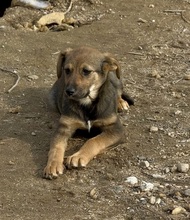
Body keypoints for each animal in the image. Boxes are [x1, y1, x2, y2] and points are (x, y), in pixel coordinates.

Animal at [44, 46, 134, 179]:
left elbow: (94, 141)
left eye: (86, 71)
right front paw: (53, 165)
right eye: (67, 70)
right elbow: (56, 146)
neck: (87, 102)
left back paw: (120, 103)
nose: (69, 91)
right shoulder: (64, 127)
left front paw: (78, 156)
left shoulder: (116, 129)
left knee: (118, 92)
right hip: (51, 98)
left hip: (115, 79)